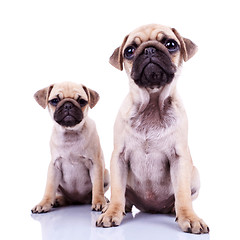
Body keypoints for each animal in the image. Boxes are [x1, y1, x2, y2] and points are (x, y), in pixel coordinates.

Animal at [31, 81, 109, 213]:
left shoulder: (96, 164)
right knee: (62, 196)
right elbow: (49, 188)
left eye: (82, 101)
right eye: (55, 101)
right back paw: (57, 201)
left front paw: (99, 202)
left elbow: (97, 186)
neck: (70, 133)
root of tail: (77, 200)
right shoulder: (54, 166)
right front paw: (44, 203)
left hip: (106, 174)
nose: (68, 105)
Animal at [96, 24, 209, 234]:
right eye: (129, 51)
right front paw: (112, 212)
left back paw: (174, 210)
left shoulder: (180, 159)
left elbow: (182, 194)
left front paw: (189, 217)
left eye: (171, 44)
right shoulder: (119, 157)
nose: (149, 49)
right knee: (125, 197)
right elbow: (117, 190)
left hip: (195, 175)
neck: (152, 106)